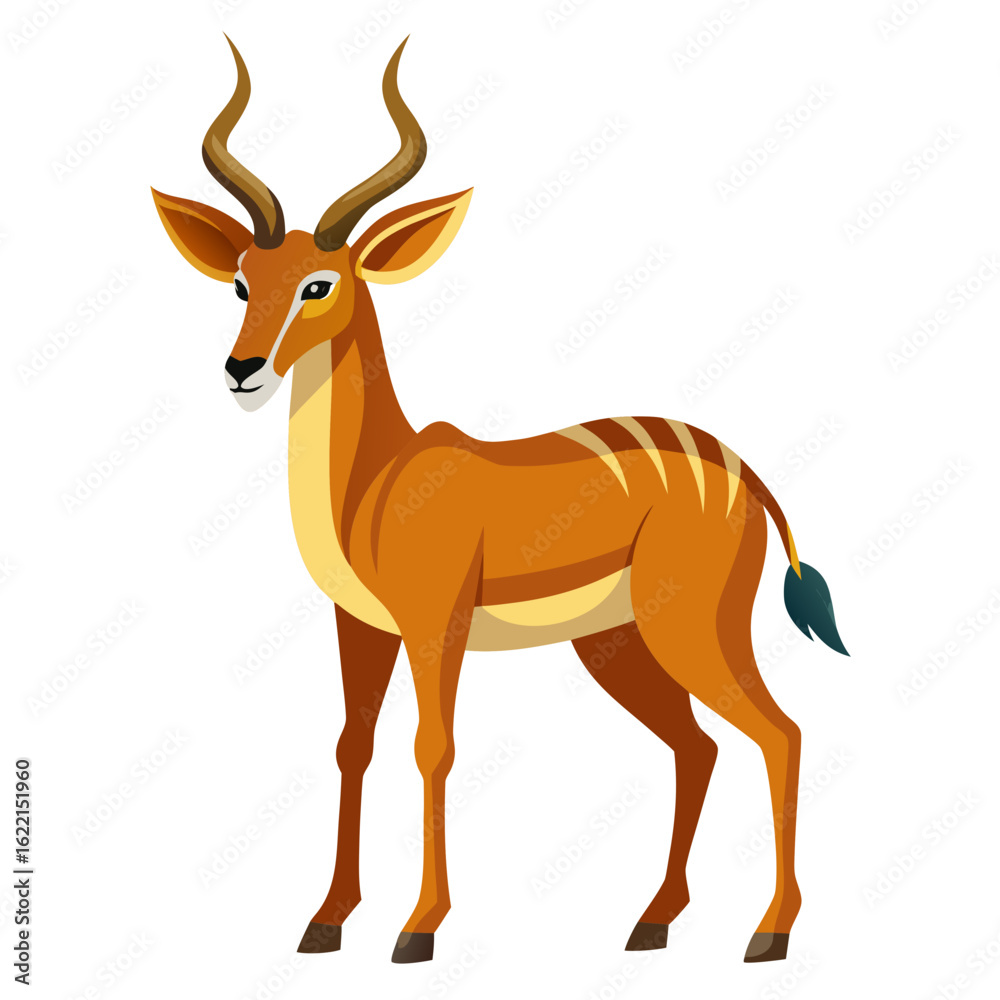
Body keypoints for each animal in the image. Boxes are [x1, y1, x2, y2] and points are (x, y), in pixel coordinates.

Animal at [152, 36, 848, 965]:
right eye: (239, 282)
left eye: (319, 284)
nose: (242, 371)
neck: (377, 481)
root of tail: (745, 474)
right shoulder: (362, 628)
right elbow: (352, 745)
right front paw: (325, 921)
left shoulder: (434, 623)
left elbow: (433, 748)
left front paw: (418, 928)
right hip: (617, 646)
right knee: (697, 746)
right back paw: (652, 923)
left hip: (691, 630)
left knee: (781, 732)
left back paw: (768, 934)